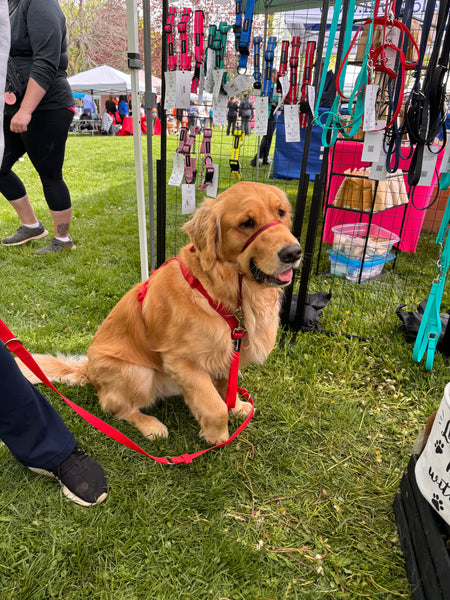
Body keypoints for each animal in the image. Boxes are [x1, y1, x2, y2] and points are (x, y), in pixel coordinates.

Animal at [21, 183, 302, 446]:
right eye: (247, 223)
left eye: (281, 212)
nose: (293, 252)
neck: (218, 291)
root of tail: (88, 369)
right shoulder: (183, 361)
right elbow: (214, 407)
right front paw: (217, 436)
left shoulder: (227, 351)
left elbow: (226, 387)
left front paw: (237, 406)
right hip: (138, 374)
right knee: (115, 408)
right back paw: (150, 425)